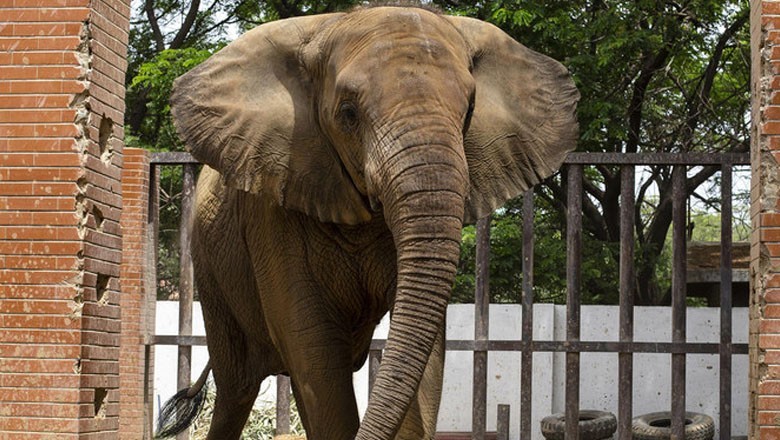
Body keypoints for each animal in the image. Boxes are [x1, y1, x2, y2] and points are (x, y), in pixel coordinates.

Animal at [156, 5, 578, 440]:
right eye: (348, 114)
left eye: (469, 112)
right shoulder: (275, 203)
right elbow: (315, 352)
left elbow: (425, 355)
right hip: (211, 274)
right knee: (237, 389)